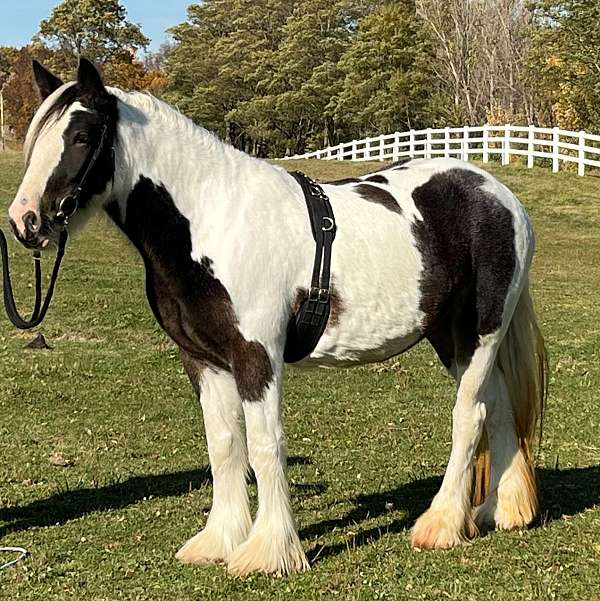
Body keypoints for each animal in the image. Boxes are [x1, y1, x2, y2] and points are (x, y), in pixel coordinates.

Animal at [5, 57, 548, 576]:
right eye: (38, 136)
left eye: (81, 135)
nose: (25, 221)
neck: (213, 218)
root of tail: (500, 195)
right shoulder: (204, 360)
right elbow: (225, 446)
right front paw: (219, 541)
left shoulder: (256, 356)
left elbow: (265, 447)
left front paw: (269, 551)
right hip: (450, 338)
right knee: (498, 406)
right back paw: (500, 511)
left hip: (479, 334)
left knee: (470, 415)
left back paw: (441, 525)